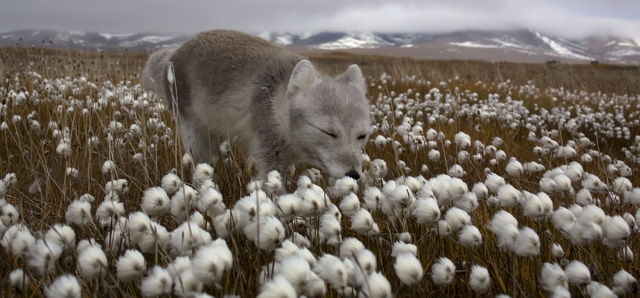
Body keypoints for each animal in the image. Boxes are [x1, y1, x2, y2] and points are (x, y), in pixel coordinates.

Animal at [140, 29, 370, 179]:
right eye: (328, 132)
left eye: (362, 136)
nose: (353, 175)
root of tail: (174, 51)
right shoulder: (266, 156)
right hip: (194, 137)